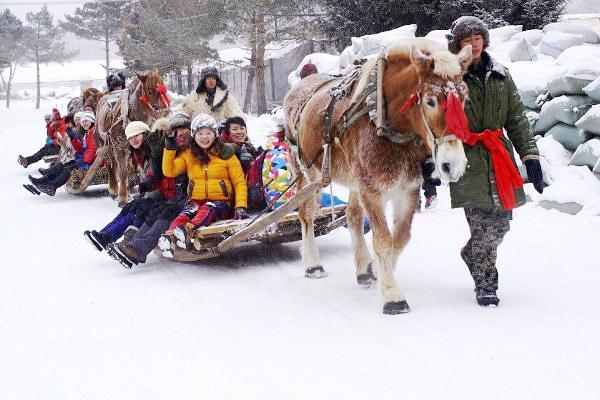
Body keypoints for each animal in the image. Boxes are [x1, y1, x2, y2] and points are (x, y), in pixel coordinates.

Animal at [95, 69, 171, 206]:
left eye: (164, 87)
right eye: (150, 90)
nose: (165, 111)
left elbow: (144, 169)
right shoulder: (120, 147)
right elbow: (123, 171)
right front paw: (122, 198)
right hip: (104, 144)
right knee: (111, 165)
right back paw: (114, 190)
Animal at [284, 39, 472, 316]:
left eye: (464, 96)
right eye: (430, 101)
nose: (454, 164)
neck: (384, 121)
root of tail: (297, 89)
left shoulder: (408, 189)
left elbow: (400, 238)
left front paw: (379, 272)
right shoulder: (371, 190)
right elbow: (383, 239)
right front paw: (392, 295)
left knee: (352, 215)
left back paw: (363, 267)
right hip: (309, 173)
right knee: (306, 214)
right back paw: (312, 263)